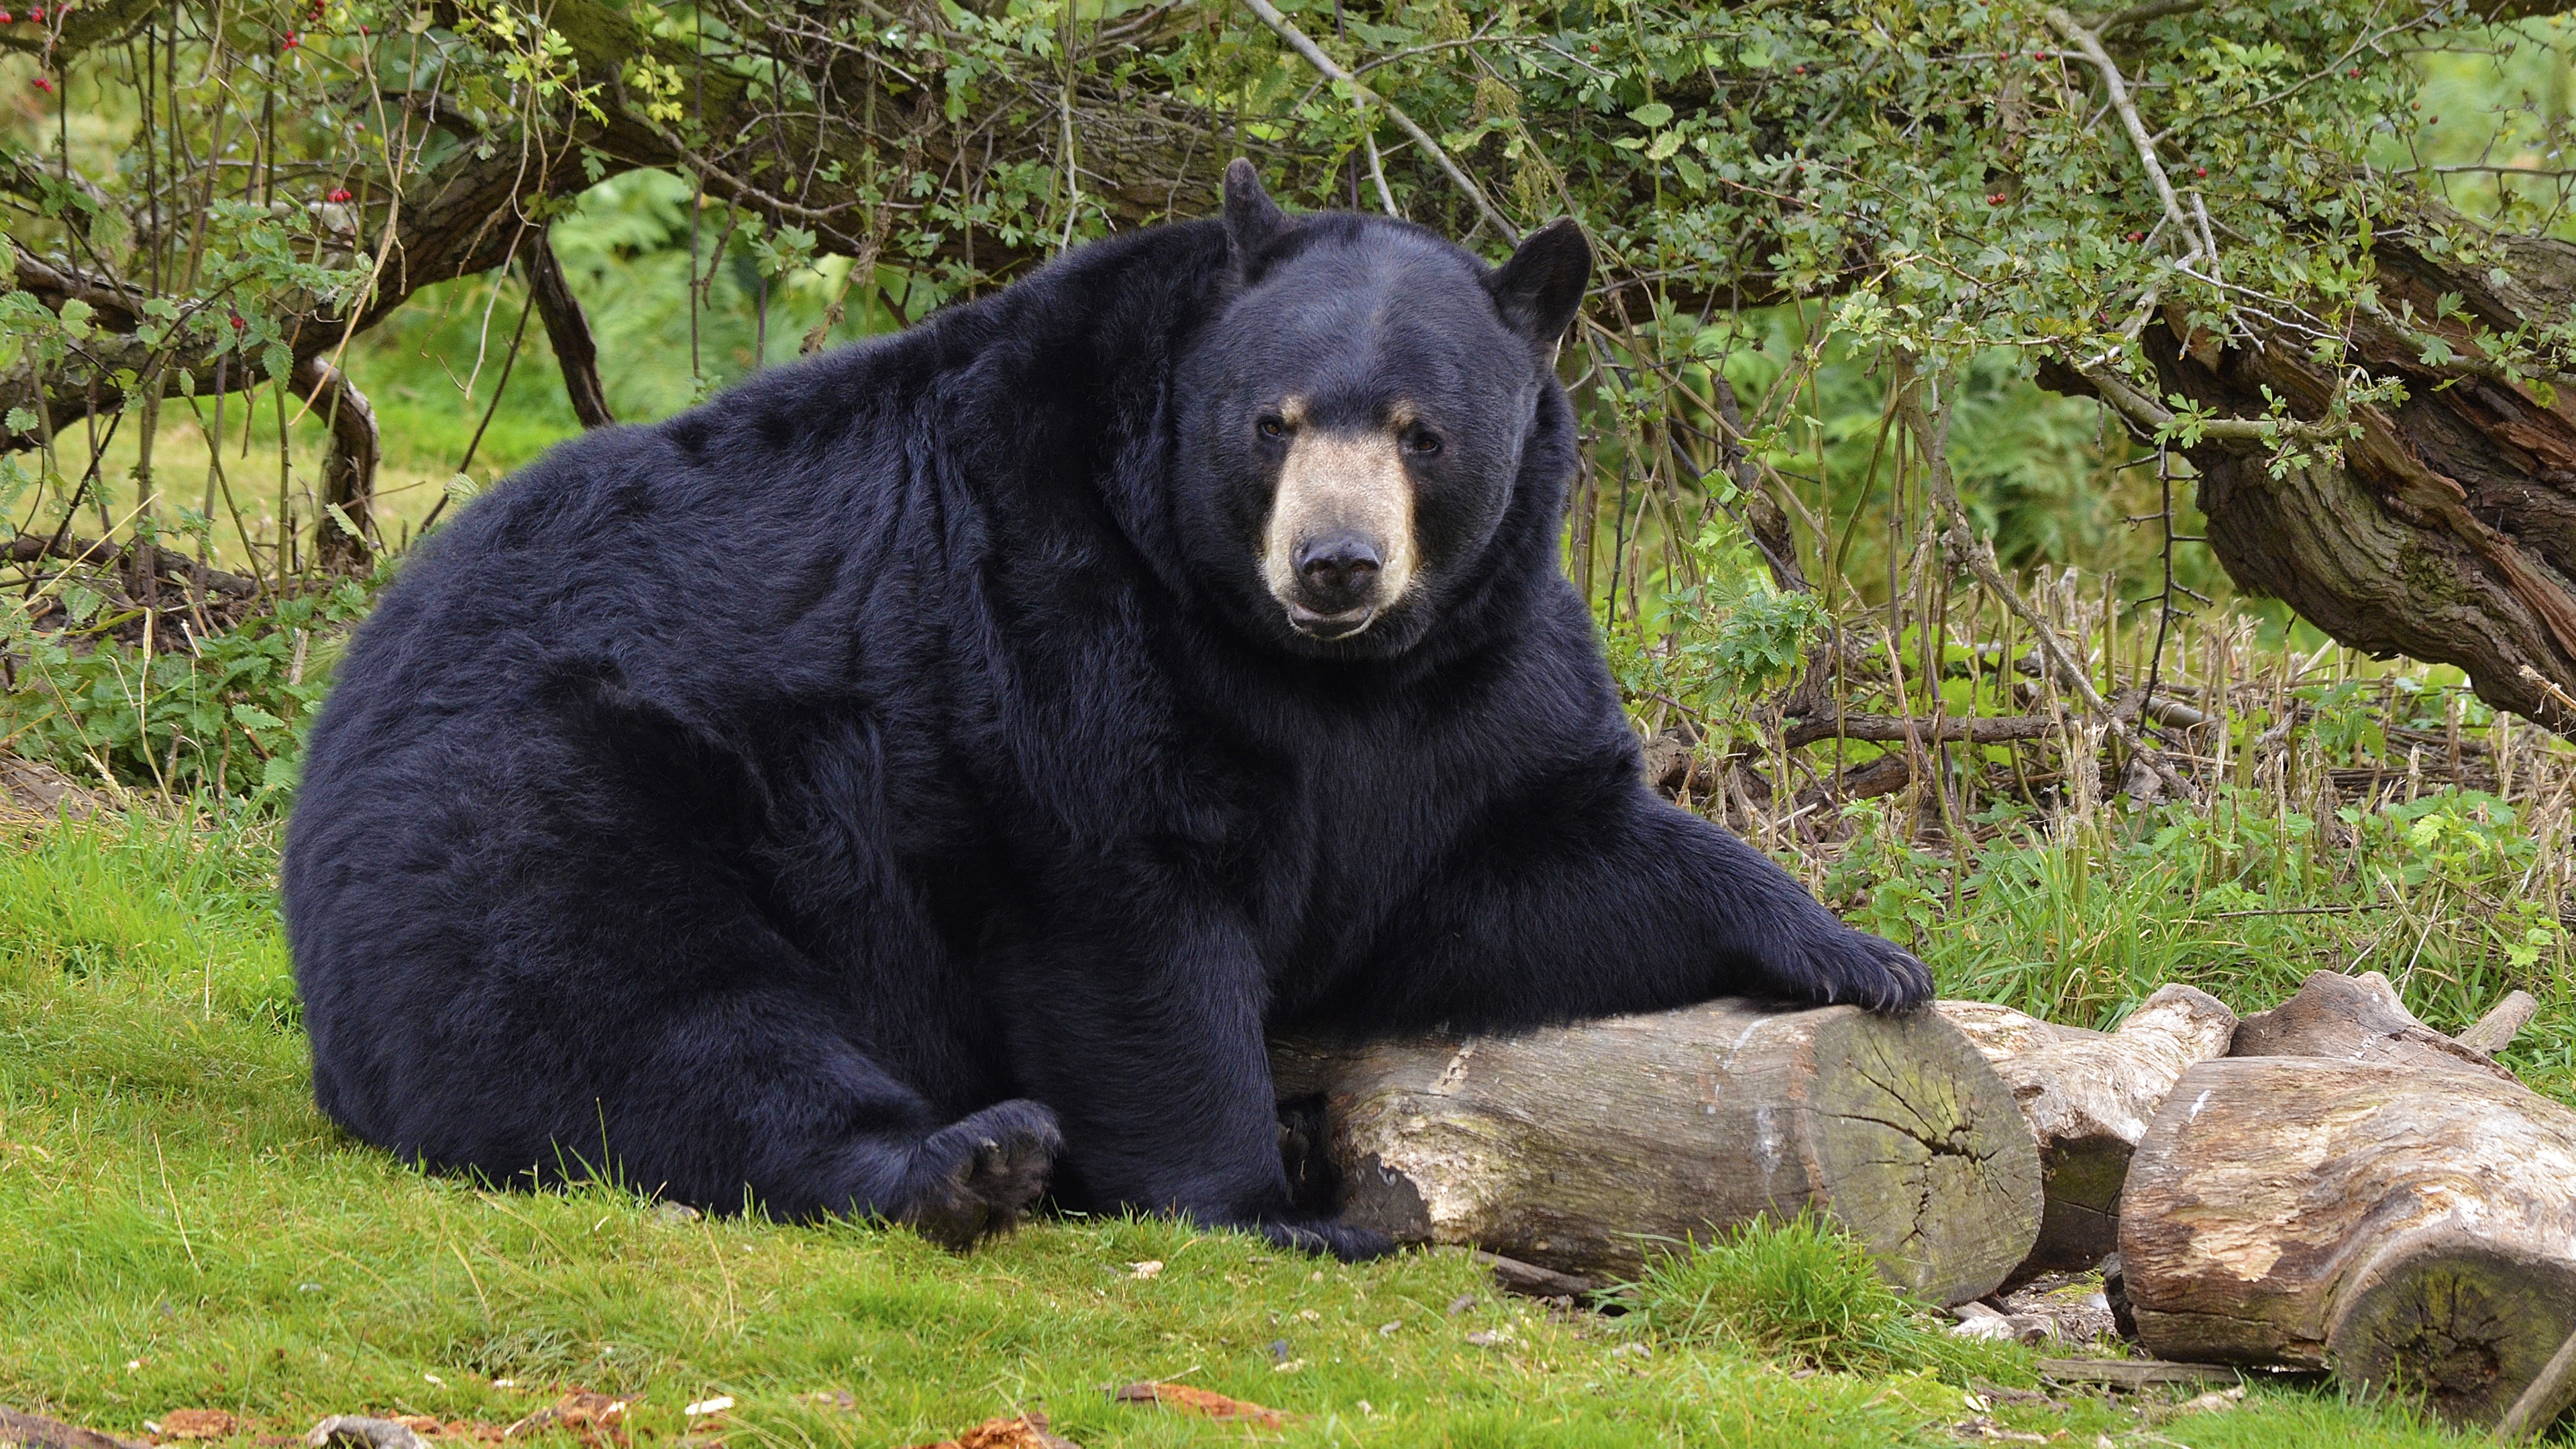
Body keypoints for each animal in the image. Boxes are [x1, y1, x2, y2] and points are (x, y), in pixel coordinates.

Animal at [282, 160, 1932, 1260]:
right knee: (637, 1006)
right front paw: (1266, 1206)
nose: (1336, 563)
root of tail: (350, 698)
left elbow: (1507, 868)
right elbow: (1129, 916)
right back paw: (967, 1161)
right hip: (553, 786)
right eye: (1272, 422)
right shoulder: (1052, 607)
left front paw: (1860, 956)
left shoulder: (1463, 682)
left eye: (1424, 432)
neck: (1306, 667)